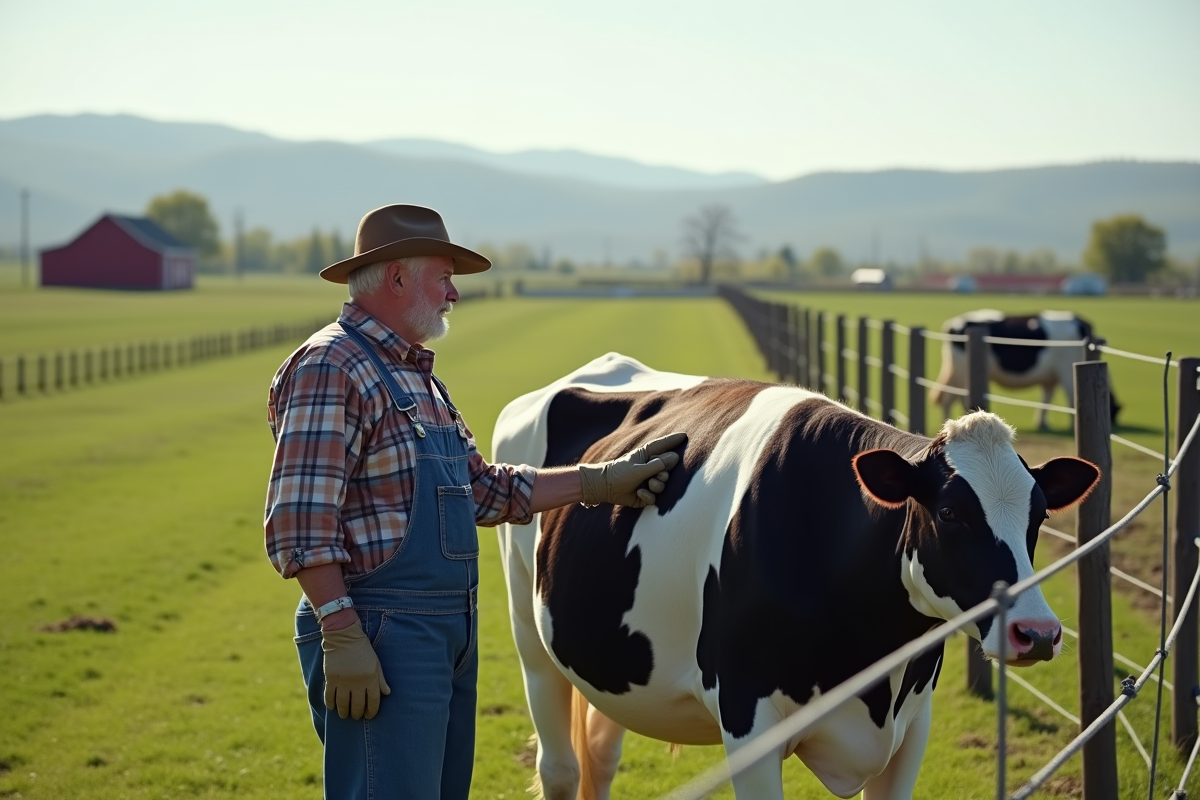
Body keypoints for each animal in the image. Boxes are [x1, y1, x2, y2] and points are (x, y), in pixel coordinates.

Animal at [493, 352, 1100, 800]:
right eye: (950, 512)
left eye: (1040, 515)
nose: (1037, 633)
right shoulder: (748, 719)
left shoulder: (912, 728)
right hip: (530, 635)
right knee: (561, 768)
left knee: (601, 758)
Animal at [929, 309, 1121, 430]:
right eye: (1113, 411)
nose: (1114, 424)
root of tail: (953, 324)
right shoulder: (1066, 370)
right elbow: (1071, 398)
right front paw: (1072, 425)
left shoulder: (1050, 379)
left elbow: (1046, 399)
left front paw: (1043, 423)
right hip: (961, 372)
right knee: (953, 398)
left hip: (957, 371)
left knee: (949, 398)